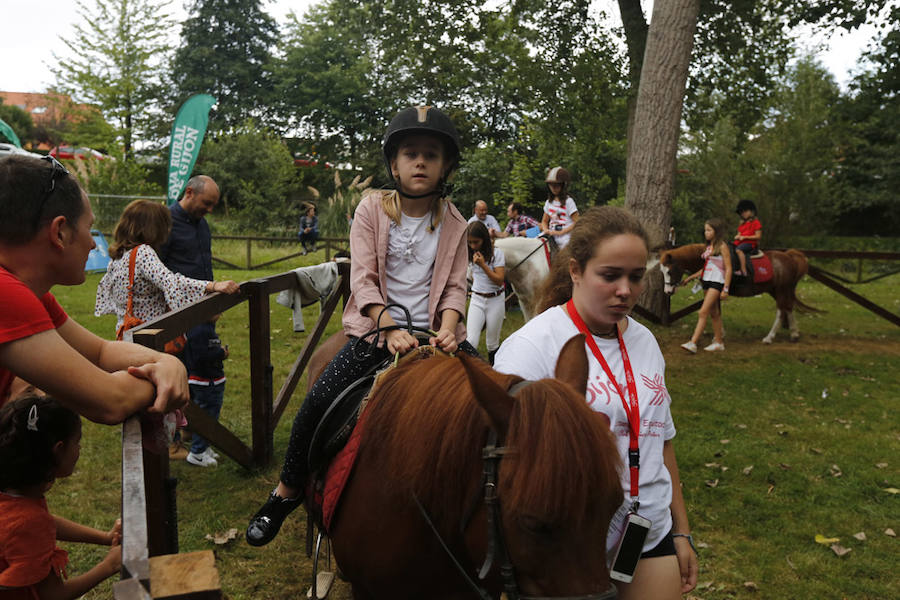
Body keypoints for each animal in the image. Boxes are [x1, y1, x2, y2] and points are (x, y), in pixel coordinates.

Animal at [652, 241, 816, 340]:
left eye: (669, 271)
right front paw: (719, 333)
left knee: (782, 310)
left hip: (781, 290)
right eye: (662, 271)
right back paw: (794, 334)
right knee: (788, 307)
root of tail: (790, 257)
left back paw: (769, 337)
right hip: (777, 290)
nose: (668, 291)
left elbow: (713, 310)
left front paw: (718, 335)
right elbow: (715, 310)